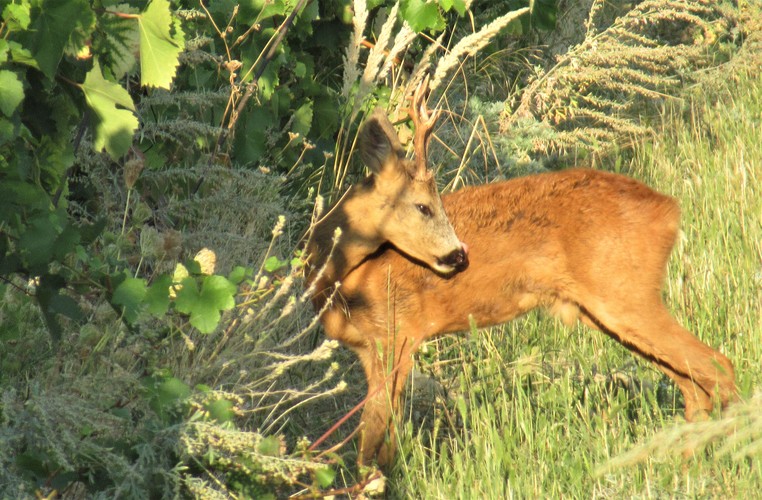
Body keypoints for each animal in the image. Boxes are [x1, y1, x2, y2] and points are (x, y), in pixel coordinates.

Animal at [304, 87, 736, 468]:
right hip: (610, 311)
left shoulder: (398, 335)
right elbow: (383, 441)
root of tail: (670, 210)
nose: (459, 256)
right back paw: (684, 464)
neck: (343, 280)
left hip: (626, 296)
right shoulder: (371, 349)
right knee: (693, 383)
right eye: (423, 206)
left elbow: (372, 439)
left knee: (718, 365)